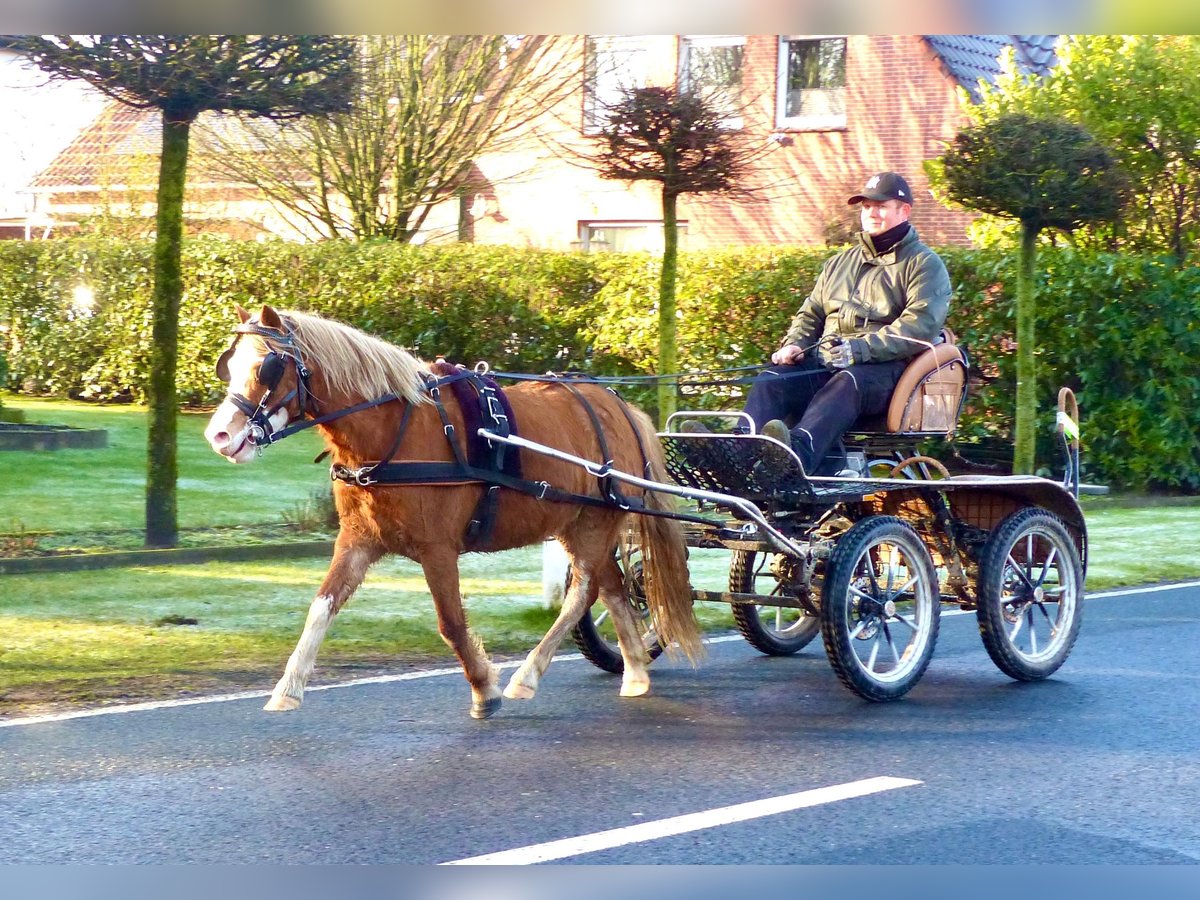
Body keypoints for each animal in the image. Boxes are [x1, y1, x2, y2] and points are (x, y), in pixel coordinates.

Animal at [201, 307, 700, 724]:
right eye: (229, 364)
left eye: (267, 367)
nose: (219, 435)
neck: (395, 430)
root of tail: (620, 406)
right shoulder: (358, 541)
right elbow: (321, 607)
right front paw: (288, 688)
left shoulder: (437, 549)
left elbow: (451, 623)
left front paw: (484, 690)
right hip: (583, 522)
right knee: (613, 586)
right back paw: (634, 670)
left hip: (594, 522)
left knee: (583, 592)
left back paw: (528, 676)